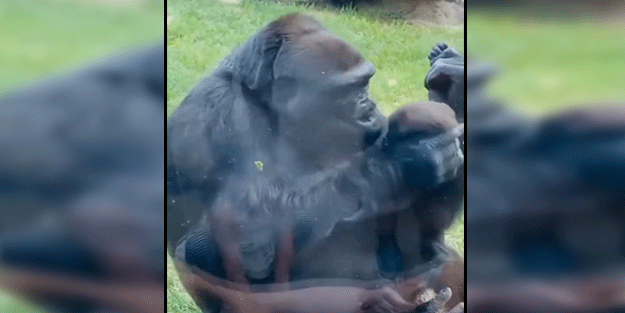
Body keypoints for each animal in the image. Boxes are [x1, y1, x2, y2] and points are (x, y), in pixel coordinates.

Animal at [167, 13, 464, 312]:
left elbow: (424, 227)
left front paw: (451, 91)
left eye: (365, 84)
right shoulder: (215, 112)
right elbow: (244, 232)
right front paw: (408, 160)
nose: (369, 109)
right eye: (349, 91)